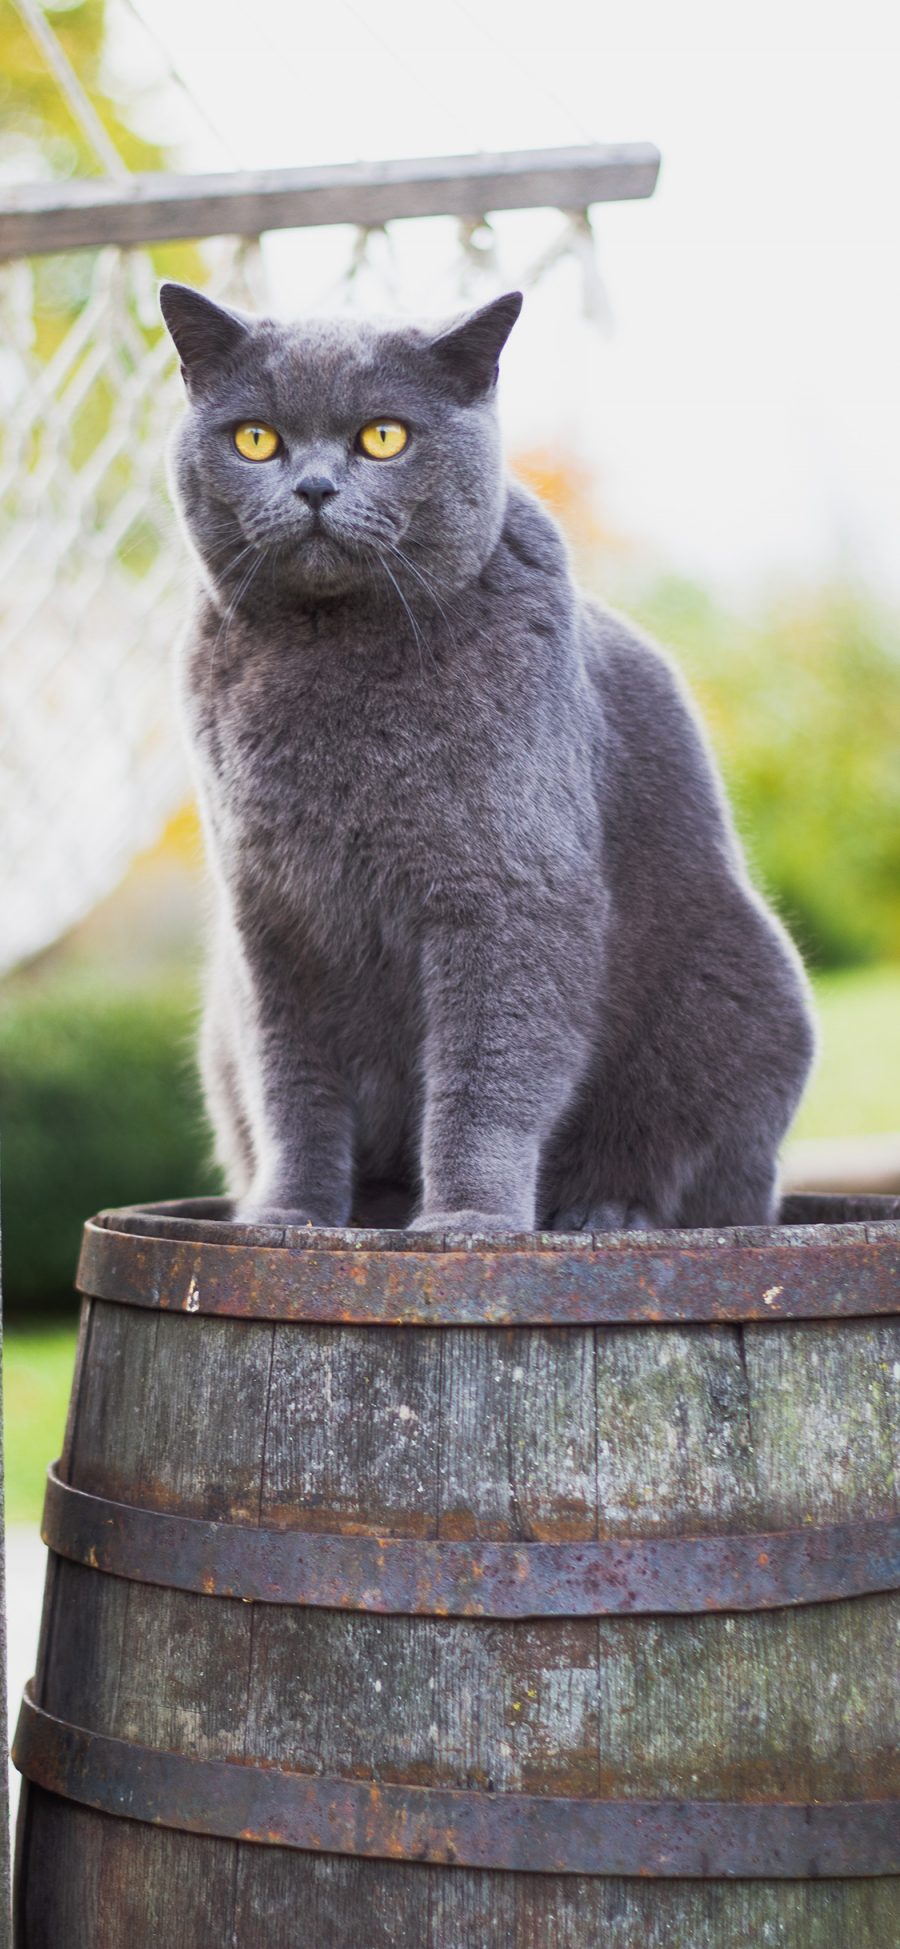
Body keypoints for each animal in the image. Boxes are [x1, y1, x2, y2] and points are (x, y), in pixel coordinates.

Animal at [159, 284, 814, 1231]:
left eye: (383, 436)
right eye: (255, 438)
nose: (314, 485)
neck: (332, 656)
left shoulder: (510, 890)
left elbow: (487, 1073)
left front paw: (467, 1222)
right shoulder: (273, 917)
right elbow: (292, 1085)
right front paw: (290, 1219)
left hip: (742, 990)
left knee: (703, 1179)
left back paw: (606, 1214)